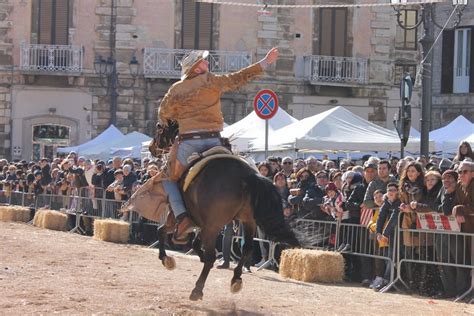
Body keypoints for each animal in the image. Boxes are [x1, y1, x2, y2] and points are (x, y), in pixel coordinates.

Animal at [154, 121, 298, 302]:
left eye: (160, 130)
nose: (152, 147)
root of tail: (247, 176)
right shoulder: (205, 224)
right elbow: (195, 243)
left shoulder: (178, 217)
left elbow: (161, 230)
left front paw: (166, 258)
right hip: (247, 221)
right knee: (247, 248)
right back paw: (236, 279)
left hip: (215, 225)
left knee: (211, 257)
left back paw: (197, 289)